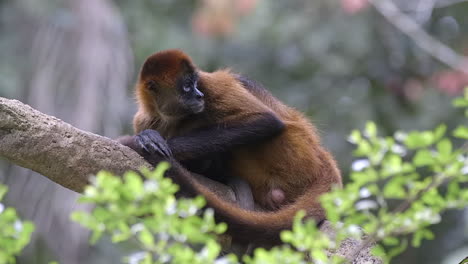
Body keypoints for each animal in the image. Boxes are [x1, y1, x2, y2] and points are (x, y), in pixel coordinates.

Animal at [120, 50, 340, 245]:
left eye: (195, 84)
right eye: (187, 86)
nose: (199, 96)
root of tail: (320, 155)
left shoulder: (209, 84)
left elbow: (266, 121)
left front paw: (144, 142)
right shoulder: (144, 120)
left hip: (292, 152)